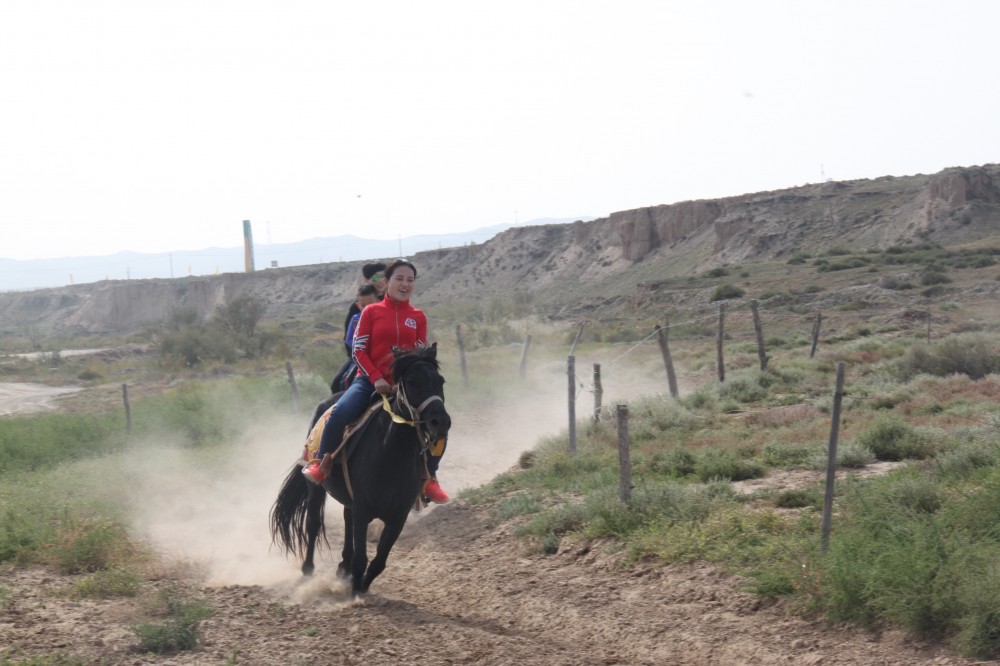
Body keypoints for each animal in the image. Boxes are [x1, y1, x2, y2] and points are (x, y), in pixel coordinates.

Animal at [268, 344, 452, 592]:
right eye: (412, 381)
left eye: (440, 380)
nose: (440, 422)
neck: (391, 456)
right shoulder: (363, 509)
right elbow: (361, 559)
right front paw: (355, 592)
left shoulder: (397, 517)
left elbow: (378, 562)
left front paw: (361, 587)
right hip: (315, 487)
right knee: (313, 523)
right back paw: (308, 569)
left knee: (346, 520)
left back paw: (342, 566)